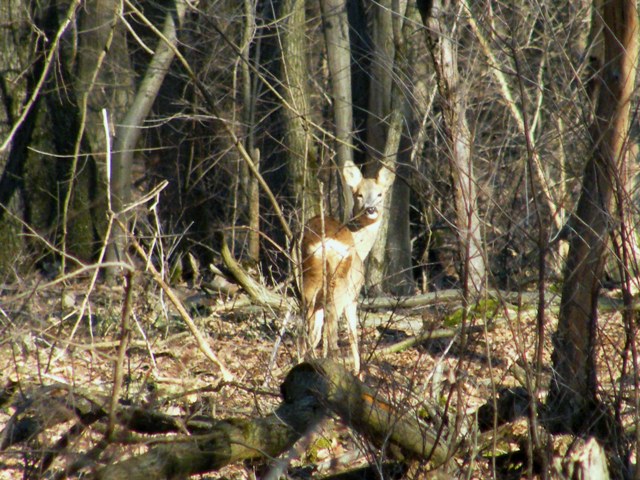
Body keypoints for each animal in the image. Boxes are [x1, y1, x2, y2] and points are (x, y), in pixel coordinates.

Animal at [300, 161, 396, 372]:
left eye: (380, 194)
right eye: (359, 194)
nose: (370, 209)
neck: (361, 247)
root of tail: (325, 241)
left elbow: (317, 334)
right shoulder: (353, 296)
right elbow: (353, 336)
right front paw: (358, 371)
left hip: (308, 279)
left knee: (307, 330)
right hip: (339, 286)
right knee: (332, 333)